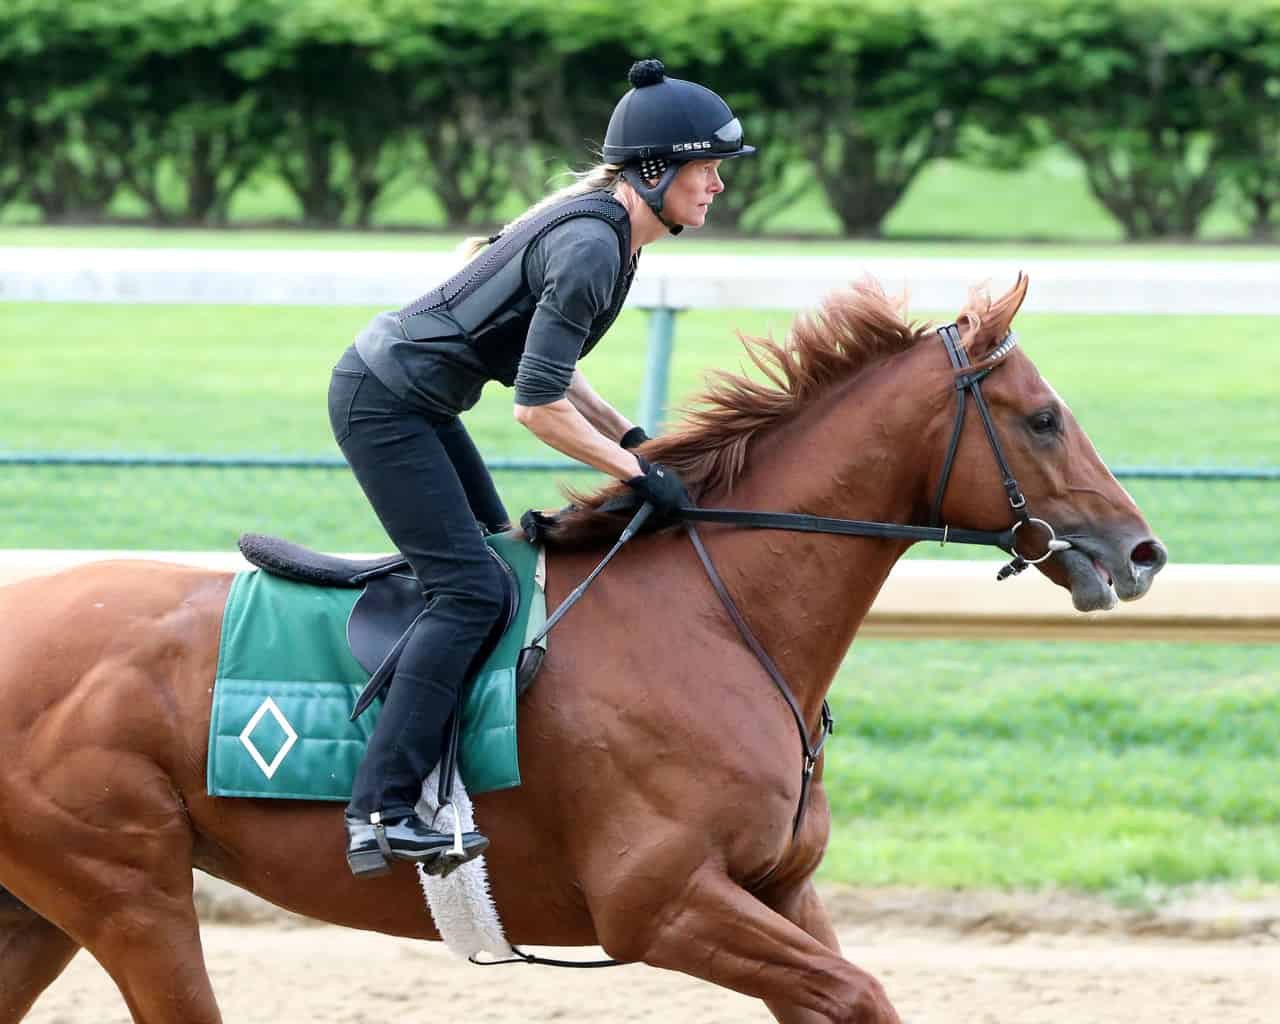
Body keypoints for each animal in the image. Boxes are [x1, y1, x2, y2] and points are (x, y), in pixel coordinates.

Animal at [0, 276, 1167, 1018]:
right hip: (126, 888)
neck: (713, 618)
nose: (1142, 551)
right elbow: (860, 993)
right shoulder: (660, 903)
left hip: (40, 911)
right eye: (1044, 417)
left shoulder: (780, 890)